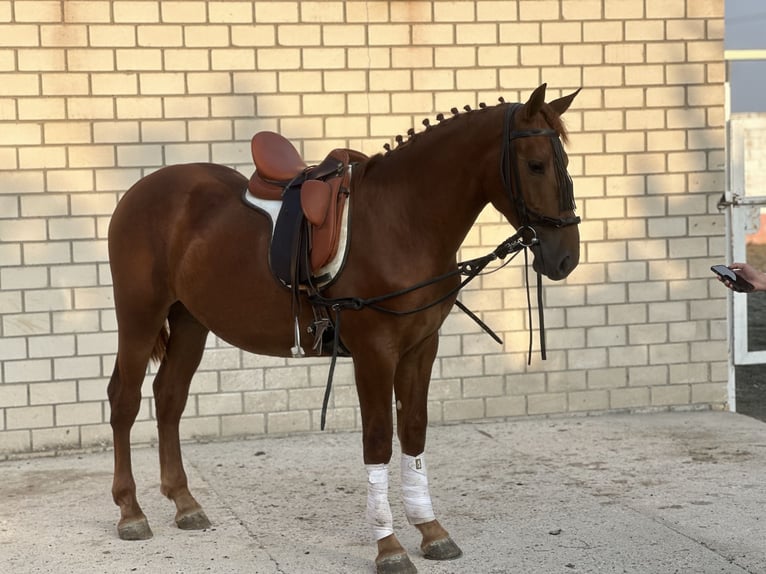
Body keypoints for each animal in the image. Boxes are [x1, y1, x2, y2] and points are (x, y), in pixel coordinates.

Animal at [108, 83, 584, 572]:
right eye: (536, 164)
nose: (565, 258)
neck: (402, 221)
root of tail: (139, 191)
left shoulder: (421, 347)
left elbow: (414, 431)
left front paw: (431, 531)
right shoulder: (375, 351)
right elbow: (378, 440)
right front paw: (389, 547)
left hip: (189, 320)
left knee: (169, 398)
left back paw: (185, 503)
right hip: (139, 314)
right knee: (125, 400)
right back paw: (131, 512)